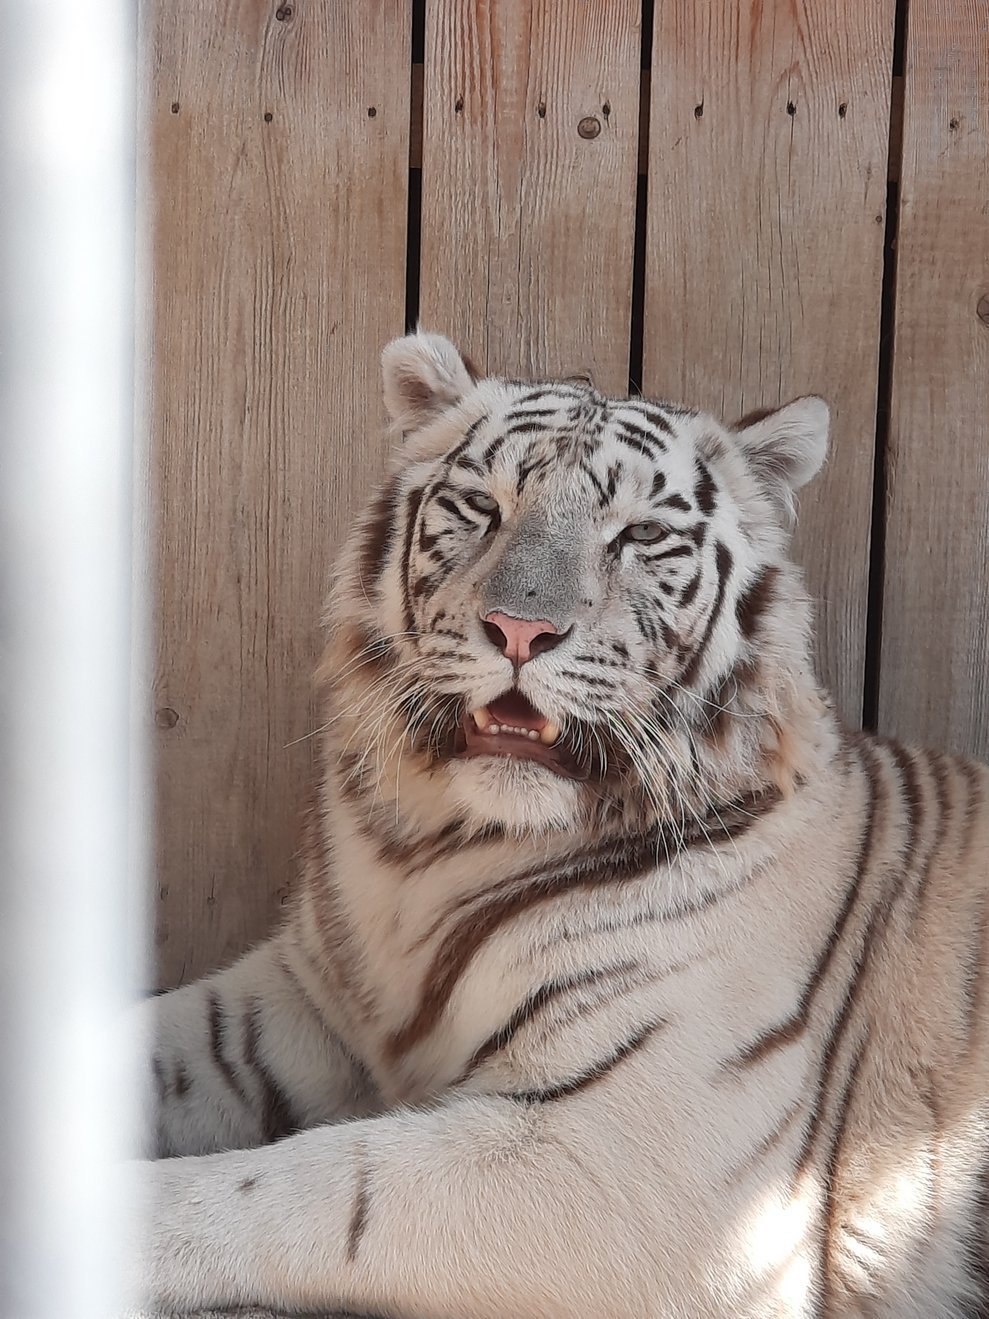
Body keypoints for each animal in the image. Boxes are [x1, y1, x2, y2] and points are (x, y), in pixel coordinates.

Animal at [134, 331, 989, 1319]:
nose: (518, 629)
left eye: (640, 535)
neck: (432, 855)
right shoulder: (297, 1000)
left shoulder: (645, 1166)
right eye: (482, 506)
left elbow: (325, 1185)